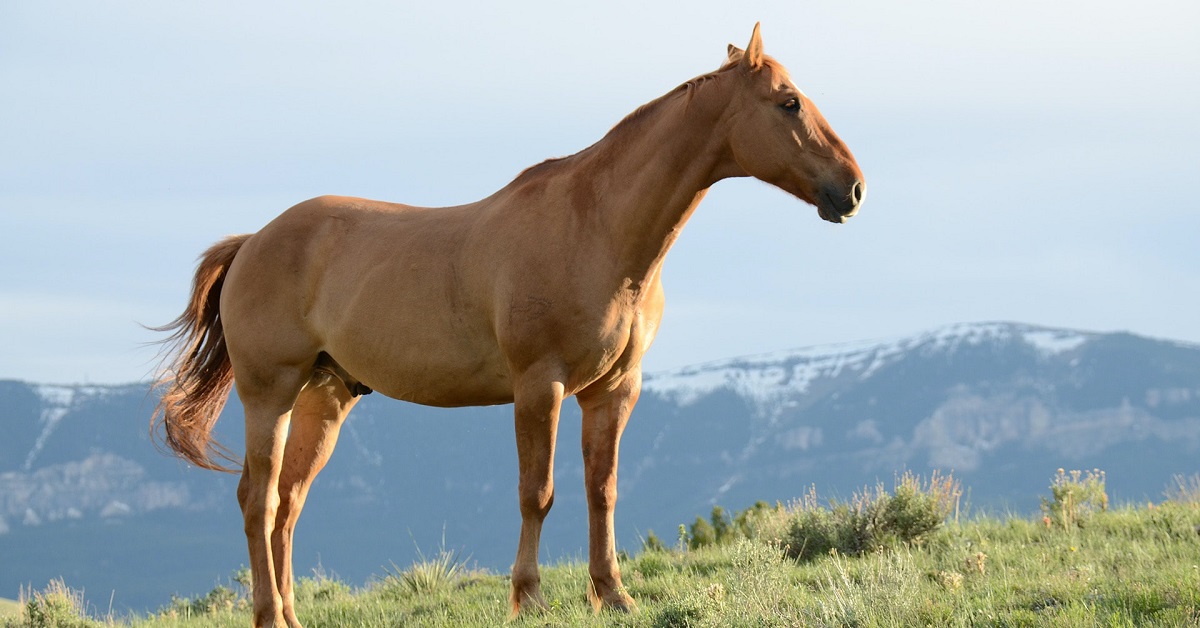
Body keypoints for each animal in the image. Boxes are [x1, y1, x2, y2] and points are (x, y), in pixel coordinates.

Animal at [152, 24, 864, 628]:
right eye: (789, 103)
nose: (852, 188)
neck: (597, 229)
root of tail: (253, 241)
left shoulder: (614, 391)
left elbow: (602, 490)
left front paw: (613, 595)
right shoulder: (539, 386)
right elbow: (537, 493)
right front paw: (529, 597)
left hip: (325, 398)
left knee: (289, 505)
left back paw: (291, 616)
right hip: (269, 392)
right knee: (259, 499)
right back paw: (270, 615)